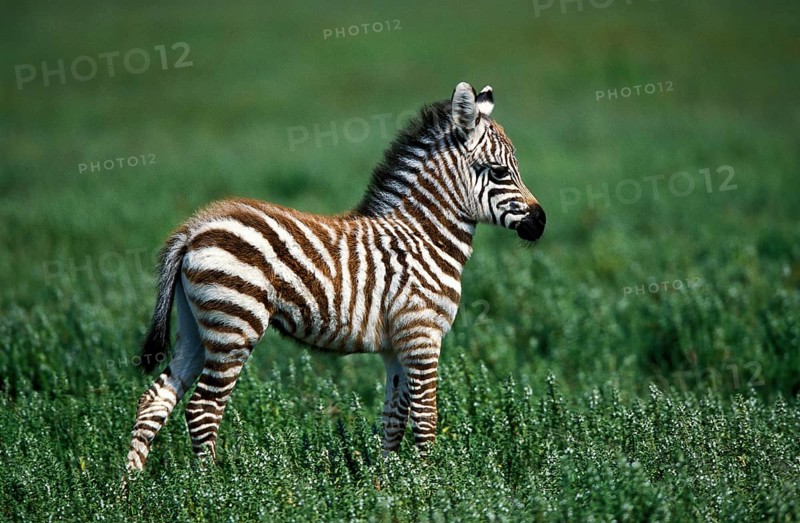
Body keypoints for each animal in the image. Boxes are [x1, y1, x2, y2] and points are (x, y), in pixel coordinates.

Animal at [126, 81, 546, 471]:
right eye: (499, 171)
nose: (541, 223)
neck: (423, 236)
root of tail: (194, 228)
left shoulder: (397, 345)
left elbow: (394, 418)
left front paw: (391, 483)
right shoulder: (422, 334)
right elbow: (426, 419)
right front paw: (433, 486)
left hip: (196, 326)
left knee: (155, 399)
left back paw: (135, 489)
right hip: (235, 324)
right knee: (203, 409)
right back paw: (211, 487)